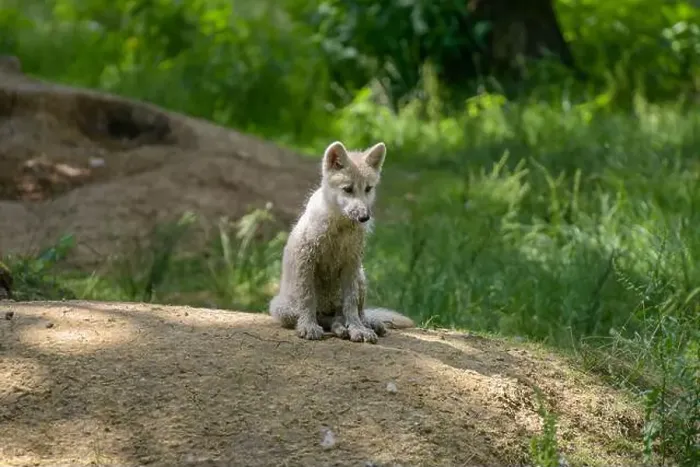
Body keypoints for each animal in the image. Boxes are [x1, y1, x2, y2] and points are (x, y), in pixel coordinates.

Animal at [268, 140, 414, 343]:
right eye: (348, 189)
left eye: (368, 189)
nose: (364, 217)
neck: (340, 226)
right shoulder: (306, 259)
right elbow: (307, 299)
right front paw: (308, 326)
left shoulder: (351, 264)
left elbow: (351, 305)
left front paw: (358, 329)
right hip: (282, 309)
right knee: (325, 318)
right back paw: (338, 328)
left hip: (361, 277)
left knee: (353, 313)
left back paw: (366, 325)